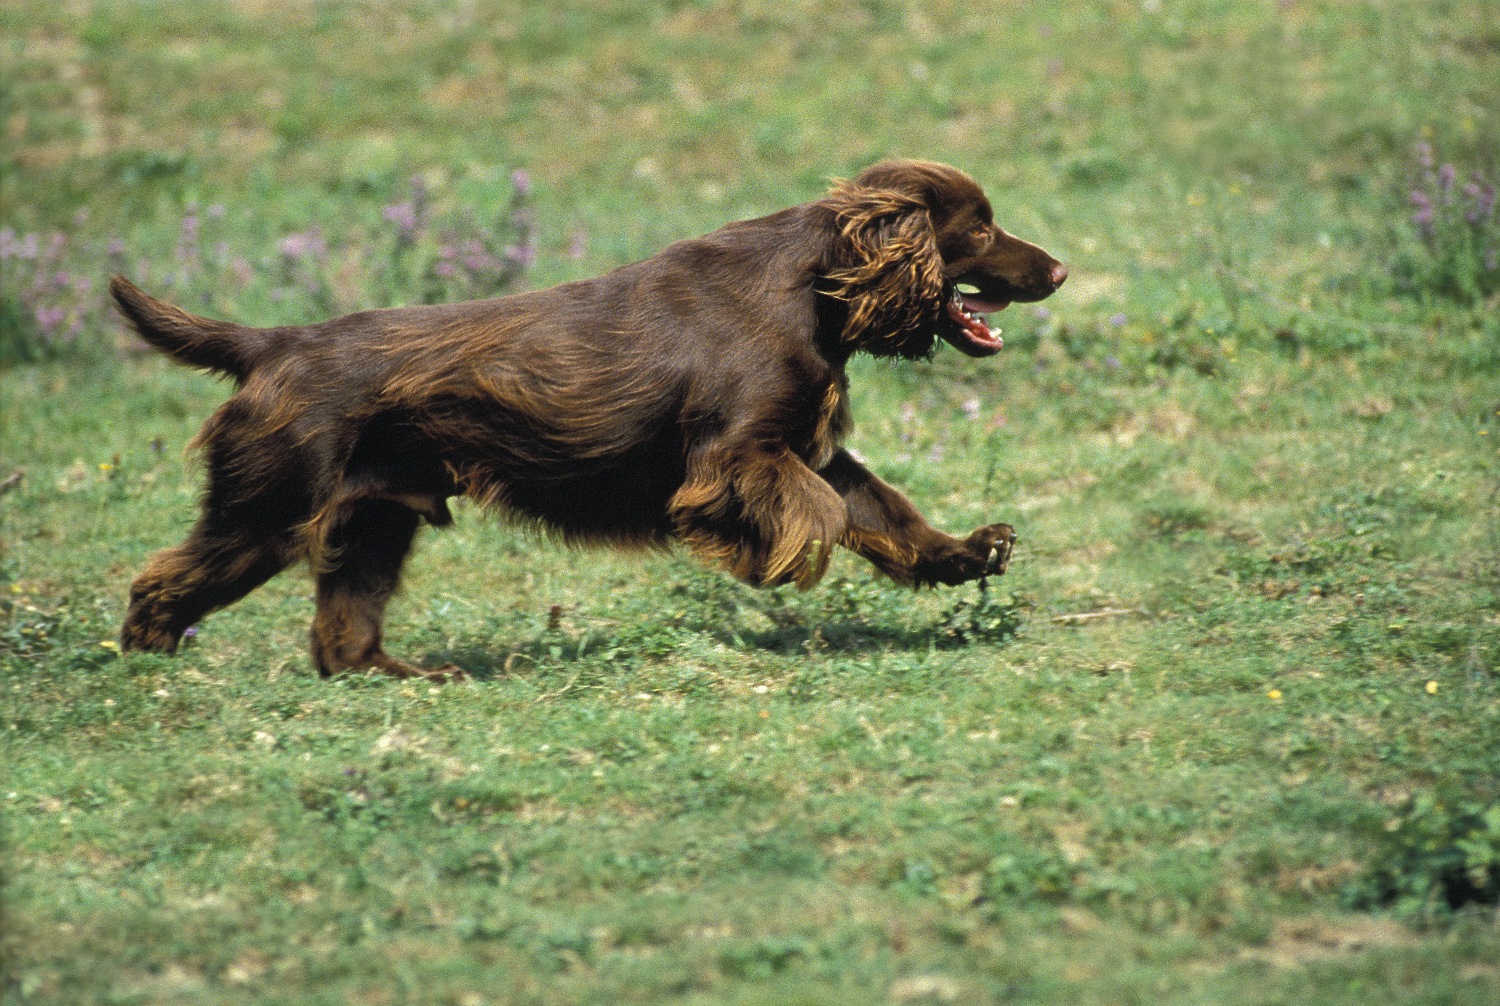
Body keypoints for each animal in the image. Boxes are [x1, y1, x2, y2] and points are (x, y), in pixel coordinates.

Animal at [111, 159, 1062, 677]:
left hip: (375, 516)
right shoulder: (736, 455)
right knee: (163, 581)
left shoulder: (804, 448)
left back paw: (410, 675)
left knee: (342, 632)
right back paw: (148, 659)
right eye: (980, 228)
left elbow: (880, 508)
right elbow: (820, 512)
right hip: (271, 503)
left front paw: (969, 553)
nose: (1057, 270)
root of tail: (274, 341)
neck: (815, 287)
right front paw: (775, 565)